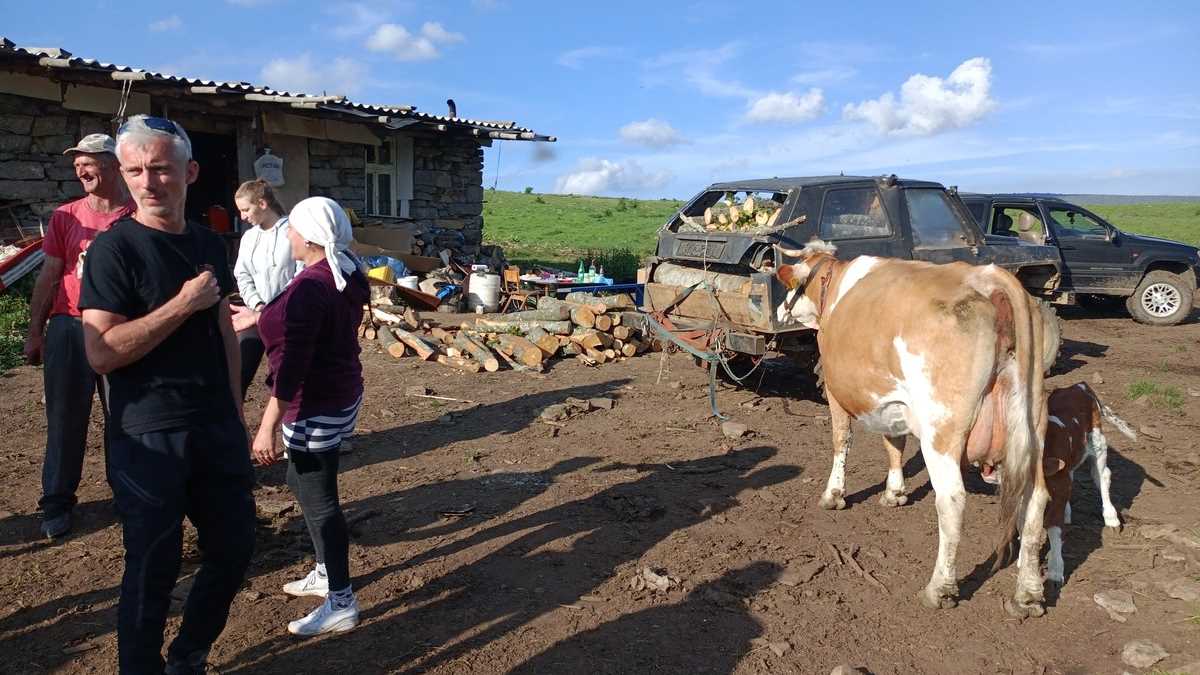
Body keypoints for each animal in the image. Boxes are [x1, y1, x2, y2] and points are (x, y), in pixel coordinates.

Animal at [777, 240, 1051, 614]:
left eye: (791, 287)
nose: (779, 310)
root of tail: (987, 277)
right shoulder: (894, 402)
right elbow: (894, 443)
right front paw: (895, 492)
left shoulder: (834, 390)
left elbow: (840, 439)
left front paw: (833, 495)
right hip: (1032, 423)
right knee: (1035, 500)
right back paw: (1029, 593)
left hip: (942, 428)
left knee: (952, 500)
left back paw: (940, 588)